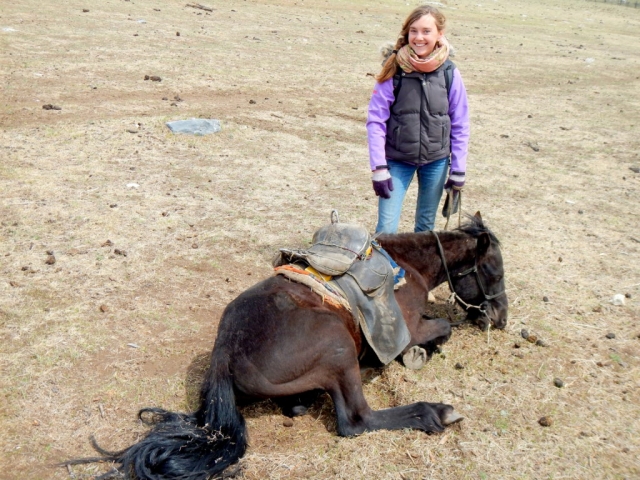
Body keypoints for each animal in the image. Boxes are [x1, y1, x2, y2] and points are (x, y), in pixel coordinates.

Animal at [63, 215, 504, 480]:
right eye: (494, 270)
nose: (499, 319)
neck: (405, 266)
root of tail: (224, 354)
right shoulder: (409, 329)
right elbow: (442, 328)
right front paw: (423, 354)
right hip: (339, 346)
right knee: (357, 420)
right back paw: (435, 411)